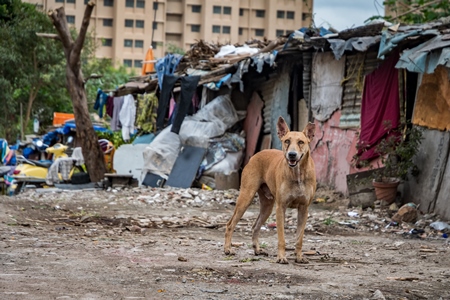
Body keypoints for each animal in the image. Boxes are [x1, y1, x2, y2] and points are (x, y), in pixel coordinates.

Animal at [224, 116, 316, 264]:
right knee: (230, 224)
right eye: (287, 141)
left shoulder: (304, 209)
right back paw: (227, 249)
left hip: (267, 207)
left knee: (255, 226)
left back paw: (257, 249)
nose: (292, 154)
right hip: (246, 197)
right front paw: (282, 257)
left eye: (301, 142)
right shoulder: (280, 208)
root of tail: (256, 154)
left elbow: (299, 238)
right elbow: (281, 238)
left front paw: (299, 256)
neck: (297, 174)